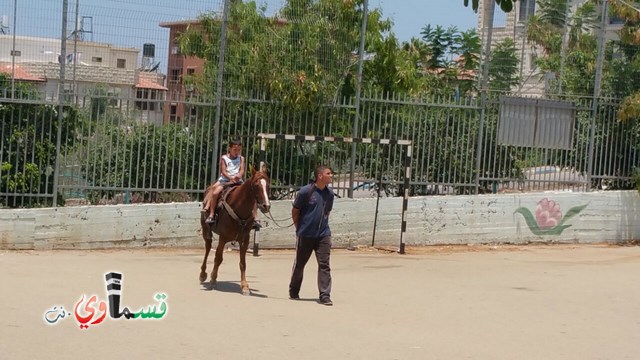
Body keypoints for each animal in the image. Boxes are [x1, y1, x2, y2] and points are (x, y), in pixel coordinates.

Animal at [200, 165, 270, 294]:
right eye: (256, 185)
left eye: (268, 184)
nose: (266, 206)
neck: (238, 207)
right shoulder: (223, 238)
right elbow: (218, 258)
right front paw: (213, 280)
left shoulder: (245, 239)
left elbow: (243, 263)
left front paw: (245, 286)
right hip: (206, 230)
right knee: (207, 249)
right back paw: (203, 274)